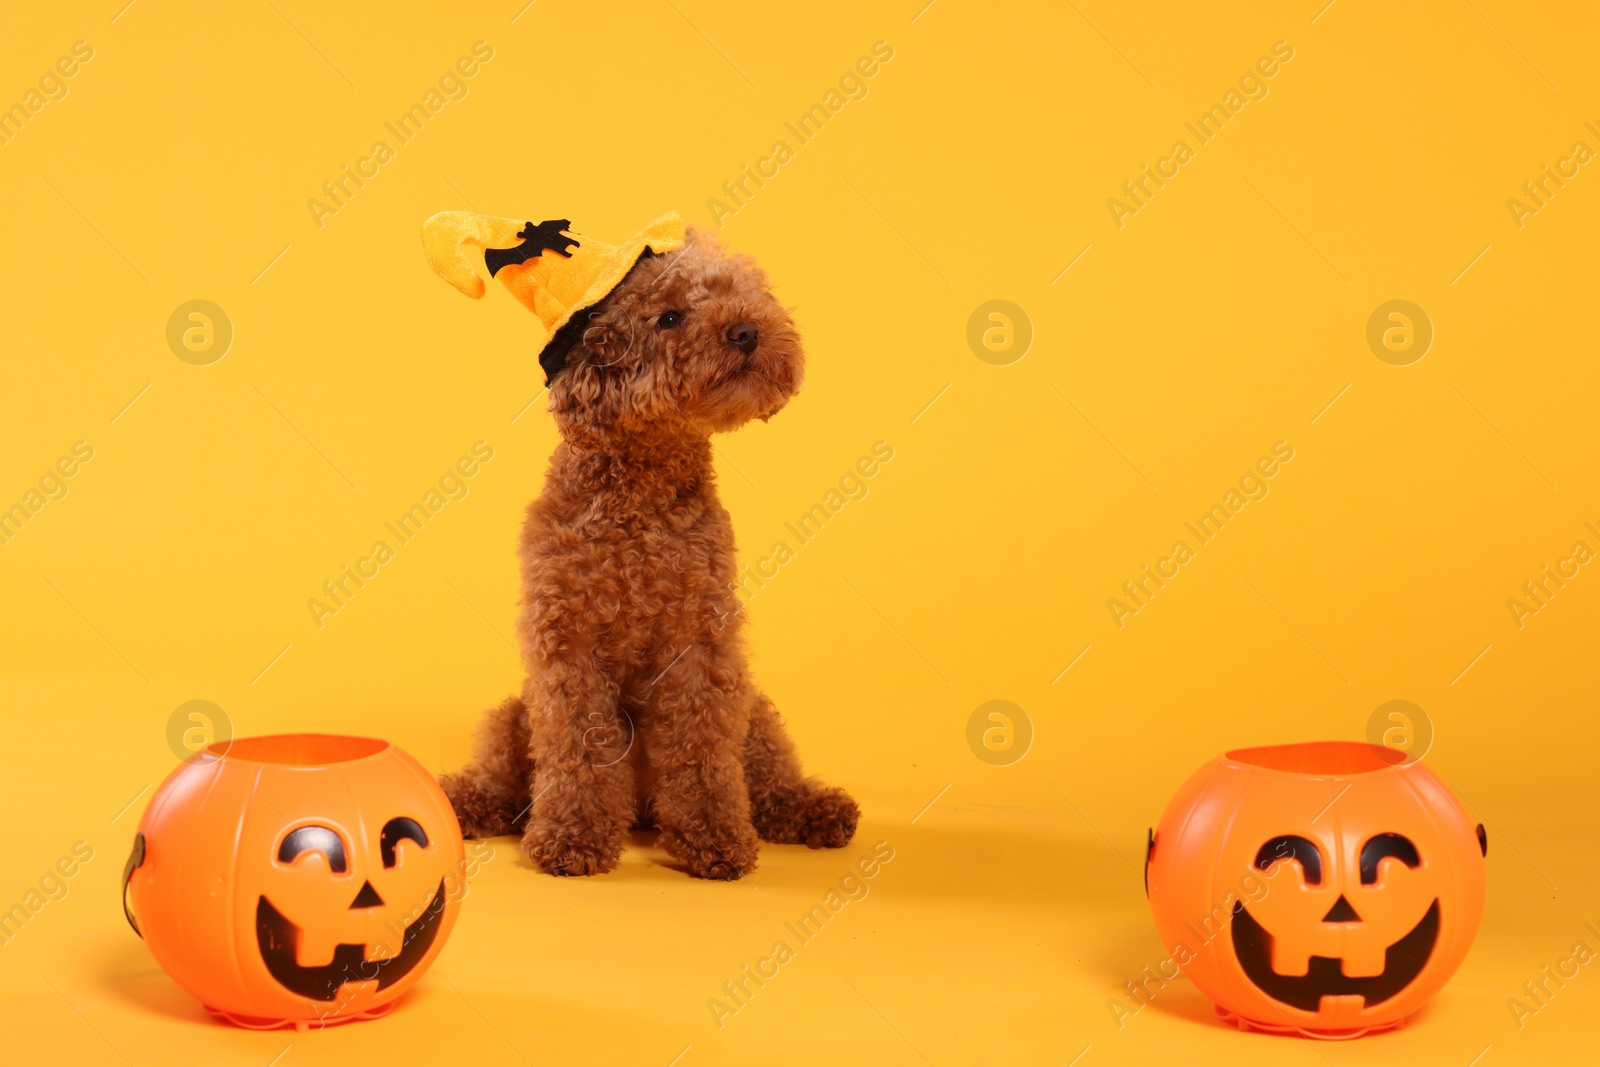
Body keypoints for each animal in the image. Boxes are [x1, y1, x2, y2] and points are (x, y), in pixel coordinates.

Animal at [419, 212, 857, 883]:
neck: (640, 504)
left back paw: (812, 809)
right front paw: (572, 837)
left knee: (769, 777)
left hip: (755, 711)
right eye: (668, 317)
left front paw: (715, 838)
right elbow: (579, 747)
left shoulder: (701, 642)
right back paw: (466, 803)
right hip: (514, 714)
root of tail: (646, 811)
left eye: (740, 293)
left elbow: (701, 748)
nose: (748, 330)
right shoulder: (566, 643)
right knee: (504, 778)